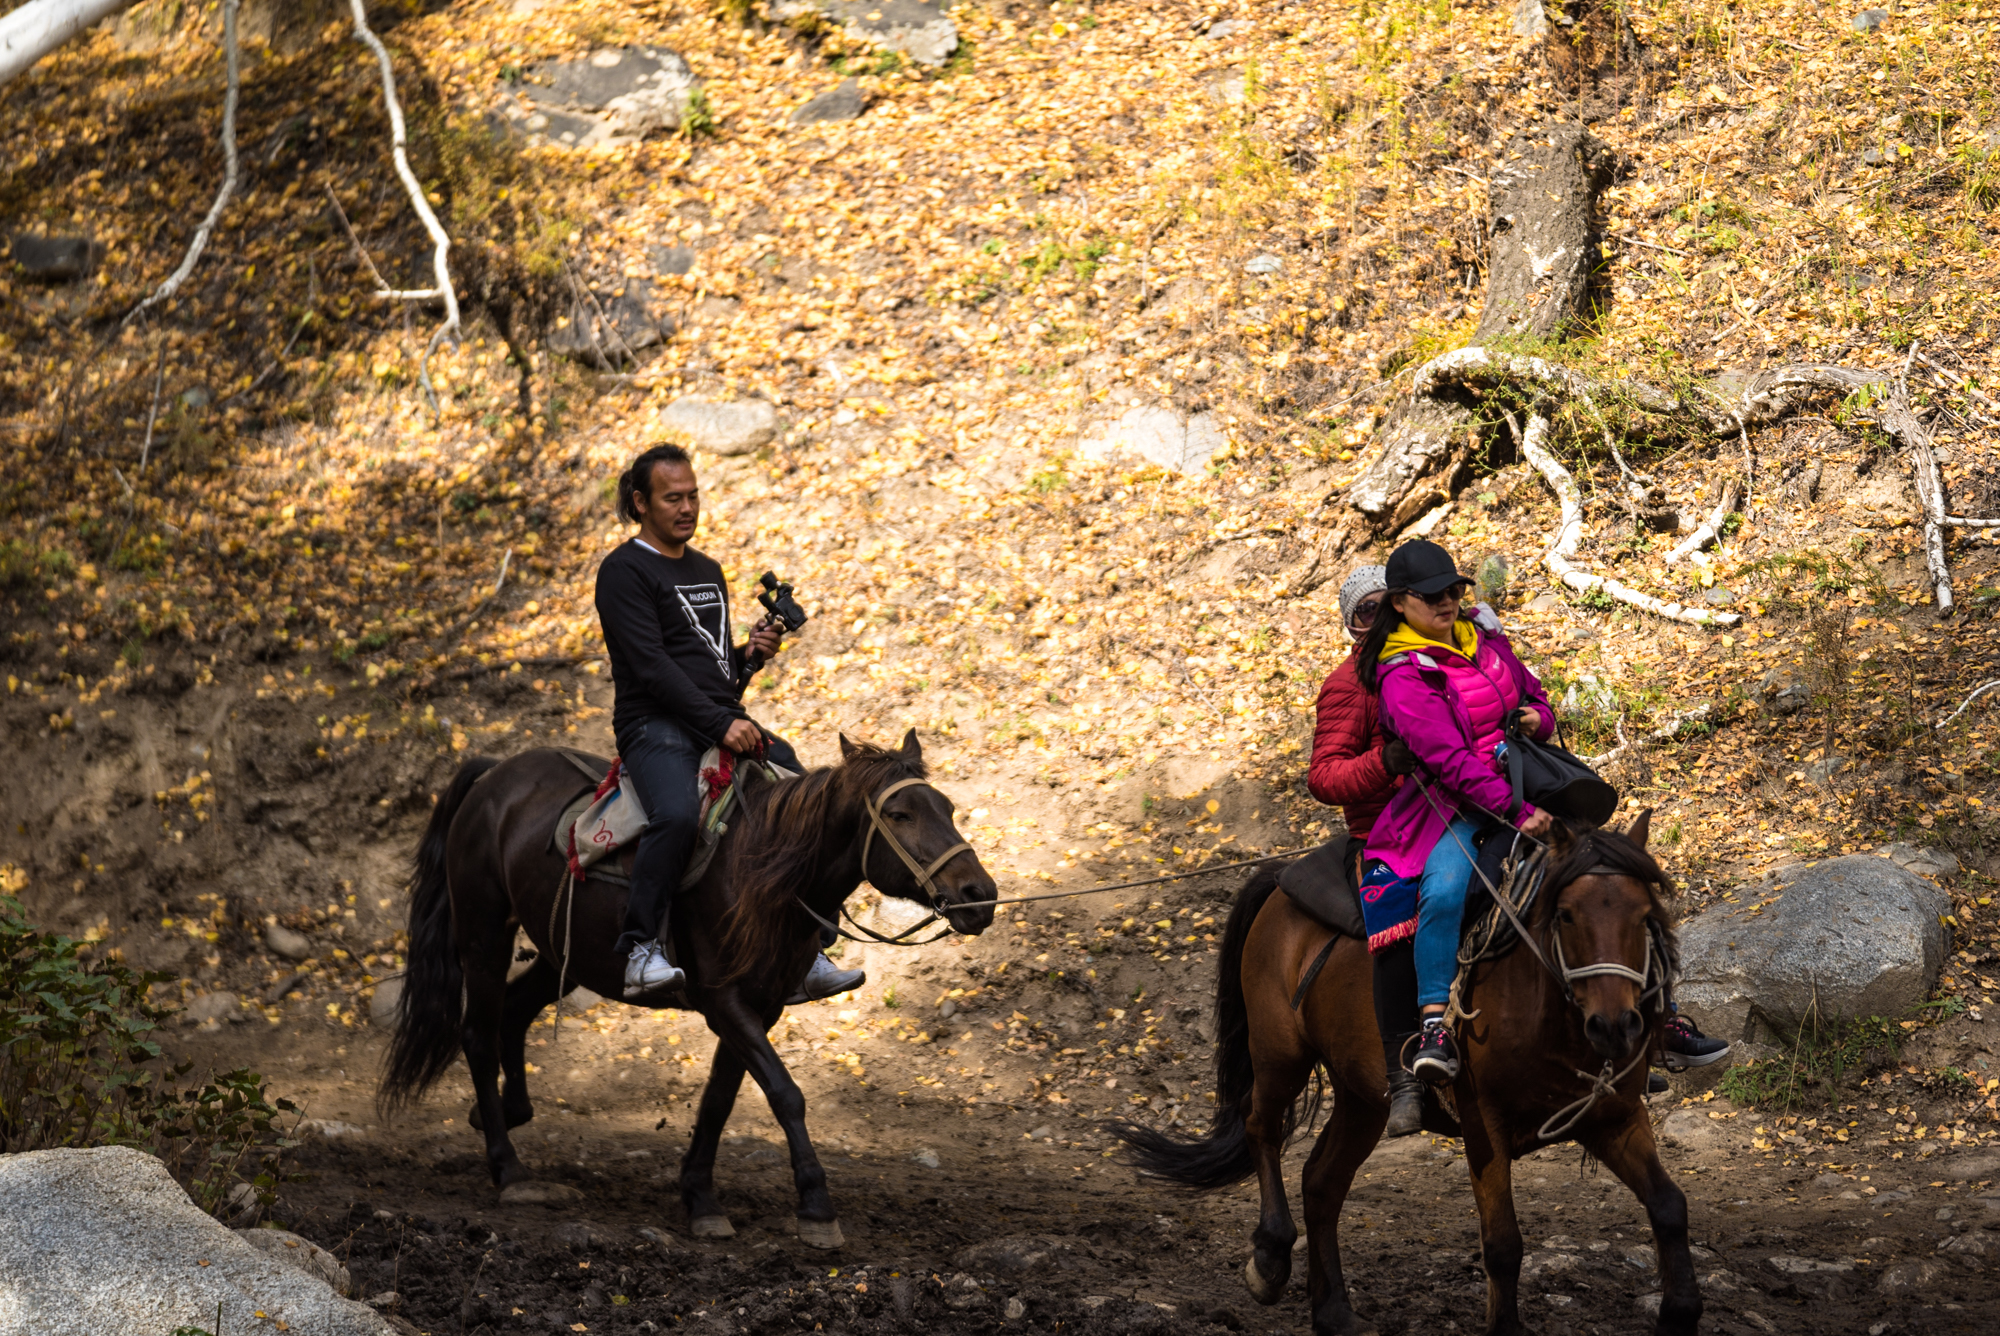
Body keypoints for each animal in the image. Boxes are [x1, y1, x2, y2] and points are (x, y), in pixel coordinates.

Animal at [376, 724, 992, 1248]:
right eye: (900, 813)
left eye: (947, 808)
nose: (979, 896)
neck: (761, 869)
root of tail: (493, 778)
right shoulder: (724, 1000)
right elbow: (785, 1093)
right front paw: (816, 1207)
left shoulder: (760, 1006)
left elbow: (720, 1099)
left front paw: (700, 1199)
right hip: (483, 934)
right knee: (478, 1033)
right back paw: (509, 1170)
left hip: (563, 953)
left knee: (513, 1012)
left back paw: (504, 1114)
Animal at [1120, 816, 1696, 1336]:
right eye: (1568, 915)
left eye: (1644, 913)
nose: (1616, 1025)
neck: (1547, 1011)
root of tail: (1281, 879)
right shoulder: (1484, 1125)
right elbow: (1503, 1244)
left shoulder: (1613, 1117)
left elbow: (1670, 1207)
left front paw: (1679, 1314)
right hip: (1279, 1053)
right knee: (1260, 1126)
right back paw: (1270, 1259)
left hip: (1362, 1098)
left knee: (1322, 1180)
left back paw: (1334, 1313)